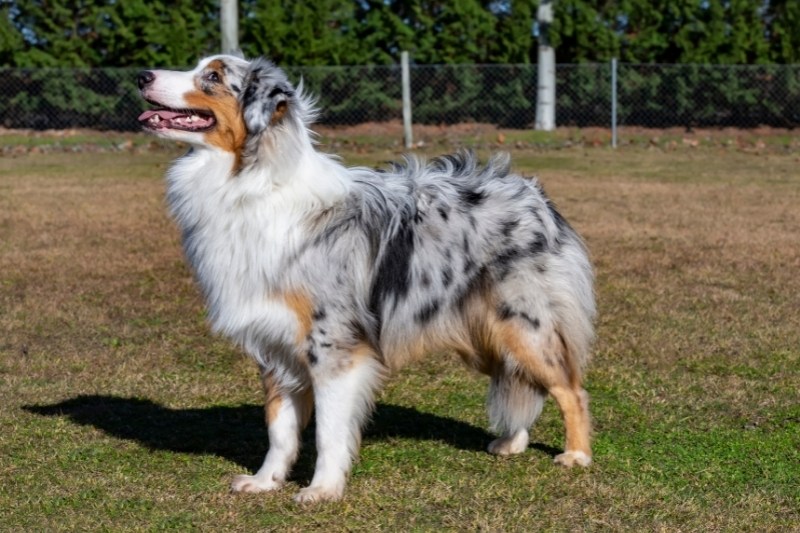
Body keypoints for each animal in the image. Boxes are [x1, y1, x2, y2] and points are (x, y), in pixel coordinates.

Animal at [136, 56, 592, 500]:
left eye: (212, 76)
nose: (142, 75)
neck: (248, 181)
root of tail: (534, 193)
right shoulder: (275, 347)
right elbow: (279, 429)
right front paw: (266, 482)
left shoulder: (333, 347)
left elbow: (328, 431)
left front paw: (322, 489)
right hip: (485, 331)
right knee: (520, 379)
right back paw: (513, 442)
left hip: (523, 324)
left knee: (569, 388)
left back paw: (577, 455)